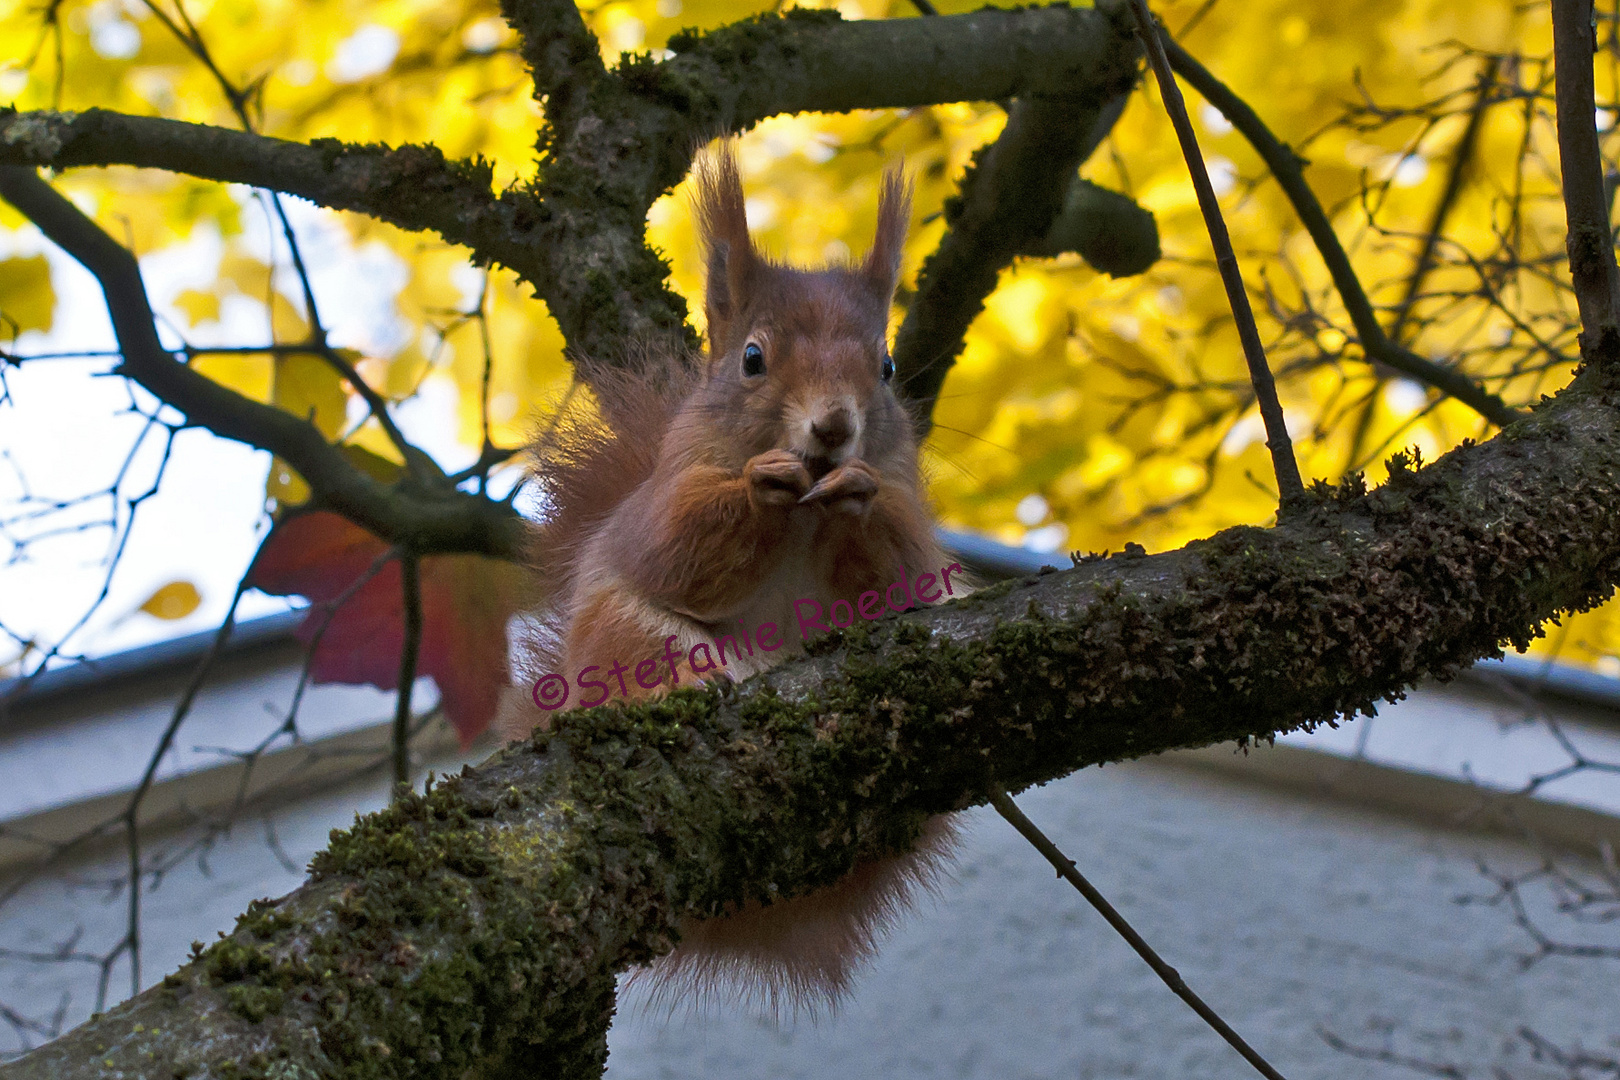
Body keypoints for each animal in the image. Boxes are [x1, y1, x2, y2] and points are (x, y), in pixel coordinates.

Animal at [505, 143, 959, 1016]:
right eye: (752, 358)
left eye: (887, 366)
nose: (832, 427)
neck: (805, 518)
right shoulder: (656, 510)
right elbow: (676, 548)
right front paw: (761, 483)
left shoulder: (917, 550)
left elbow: (901, 572)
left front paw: (859, 493)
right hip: (622, 636)